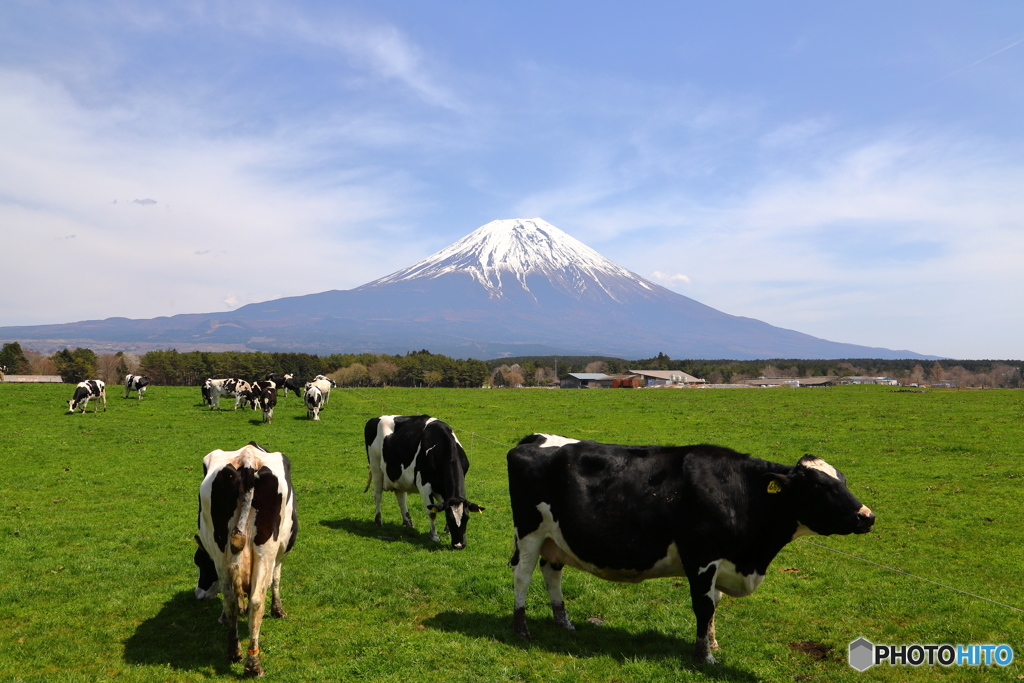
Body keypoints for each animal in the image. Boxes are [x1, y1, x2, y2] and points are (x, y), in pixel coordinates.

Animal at [194, 444, 299, 679]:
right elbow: (276, 579)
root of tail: (248, 459)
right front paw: (278, 610)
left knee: (233, 599)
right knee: (256, 600)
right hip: (266, 549)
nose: (197, 594)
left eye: (200, 562)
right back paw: (253, 664)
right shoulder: (280, 553)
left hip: (222, 549)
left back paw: (236, 654)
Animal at [364, 417, 483, 548]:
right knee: (378, 495)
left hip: (399, 476)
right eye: (449, 518)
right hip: (375, 467)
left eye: (467, 518)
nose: (459, 545)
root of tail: (374, 419)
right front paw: (434, 536)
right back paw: (378, 521)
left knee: (401, 497)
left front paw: (447, 531)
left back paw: (408, 522)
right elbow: (432, 512)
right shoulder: (424, 485)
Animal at [507, 436, 876, 663]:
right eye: (820, 487)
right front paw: (704, 656)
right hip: (529, 531)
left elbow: (715, 605)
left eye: (843, 480)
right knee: (522, 575)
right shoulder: (702, 557)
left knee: (551, 573)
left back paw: (563, 622)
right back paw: (521, 629)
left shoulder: (722, 561)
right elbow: (704, 606)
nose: (867, 516)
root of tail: (532, 439)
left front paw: (713, 643)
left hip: (555, 537)